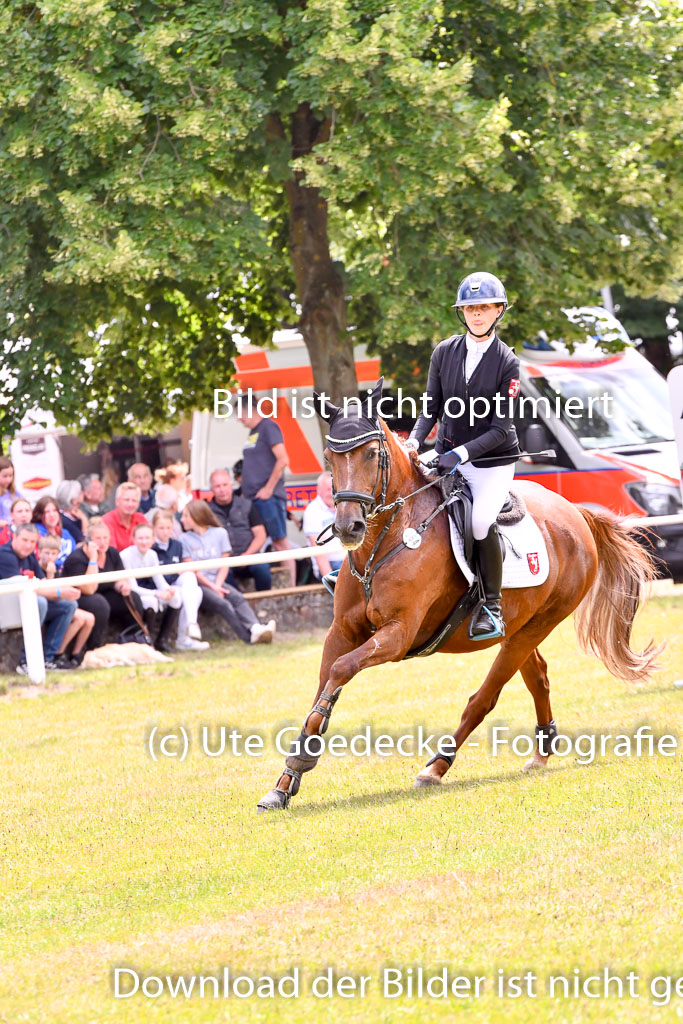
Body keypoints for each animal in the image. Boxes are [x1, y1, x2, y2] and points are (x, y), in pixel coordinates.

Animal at [258, 387, 663, 811]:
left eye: (370, 454)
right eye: (330, 457)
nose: (347, 527)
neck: (388, 536)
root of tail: (576, 513)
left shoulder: (397, 635)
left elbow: (339, 672)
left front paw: (303, 759)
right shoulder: (341, 631)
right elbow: (324, 683)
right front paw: (286, 780)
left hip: (537, 625)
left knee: (484, 698)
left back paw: (436, 766)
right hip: (519, 628)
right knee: (537, 677)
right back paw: (540, 753)